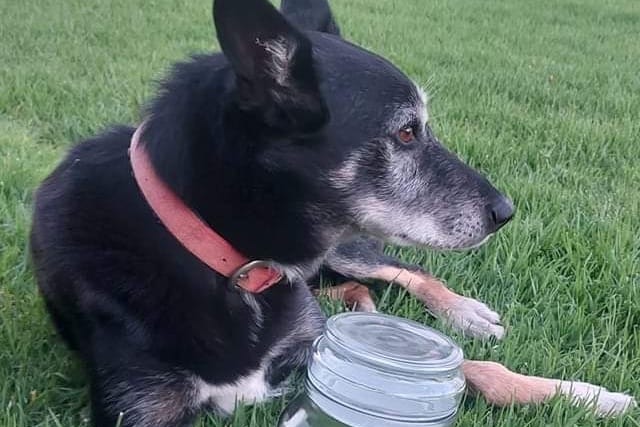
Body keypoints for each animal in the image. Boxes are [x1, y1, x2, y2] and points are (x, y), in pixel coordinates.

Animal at [31, 0, 636, 424]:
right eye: (407, 132)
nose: (506, 212)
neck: (232, 263)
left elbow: (476, 369)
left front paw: (586, 396)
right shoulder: (139, 409)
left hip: (349, 247)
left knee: (403, 269)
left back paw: (463, 311)